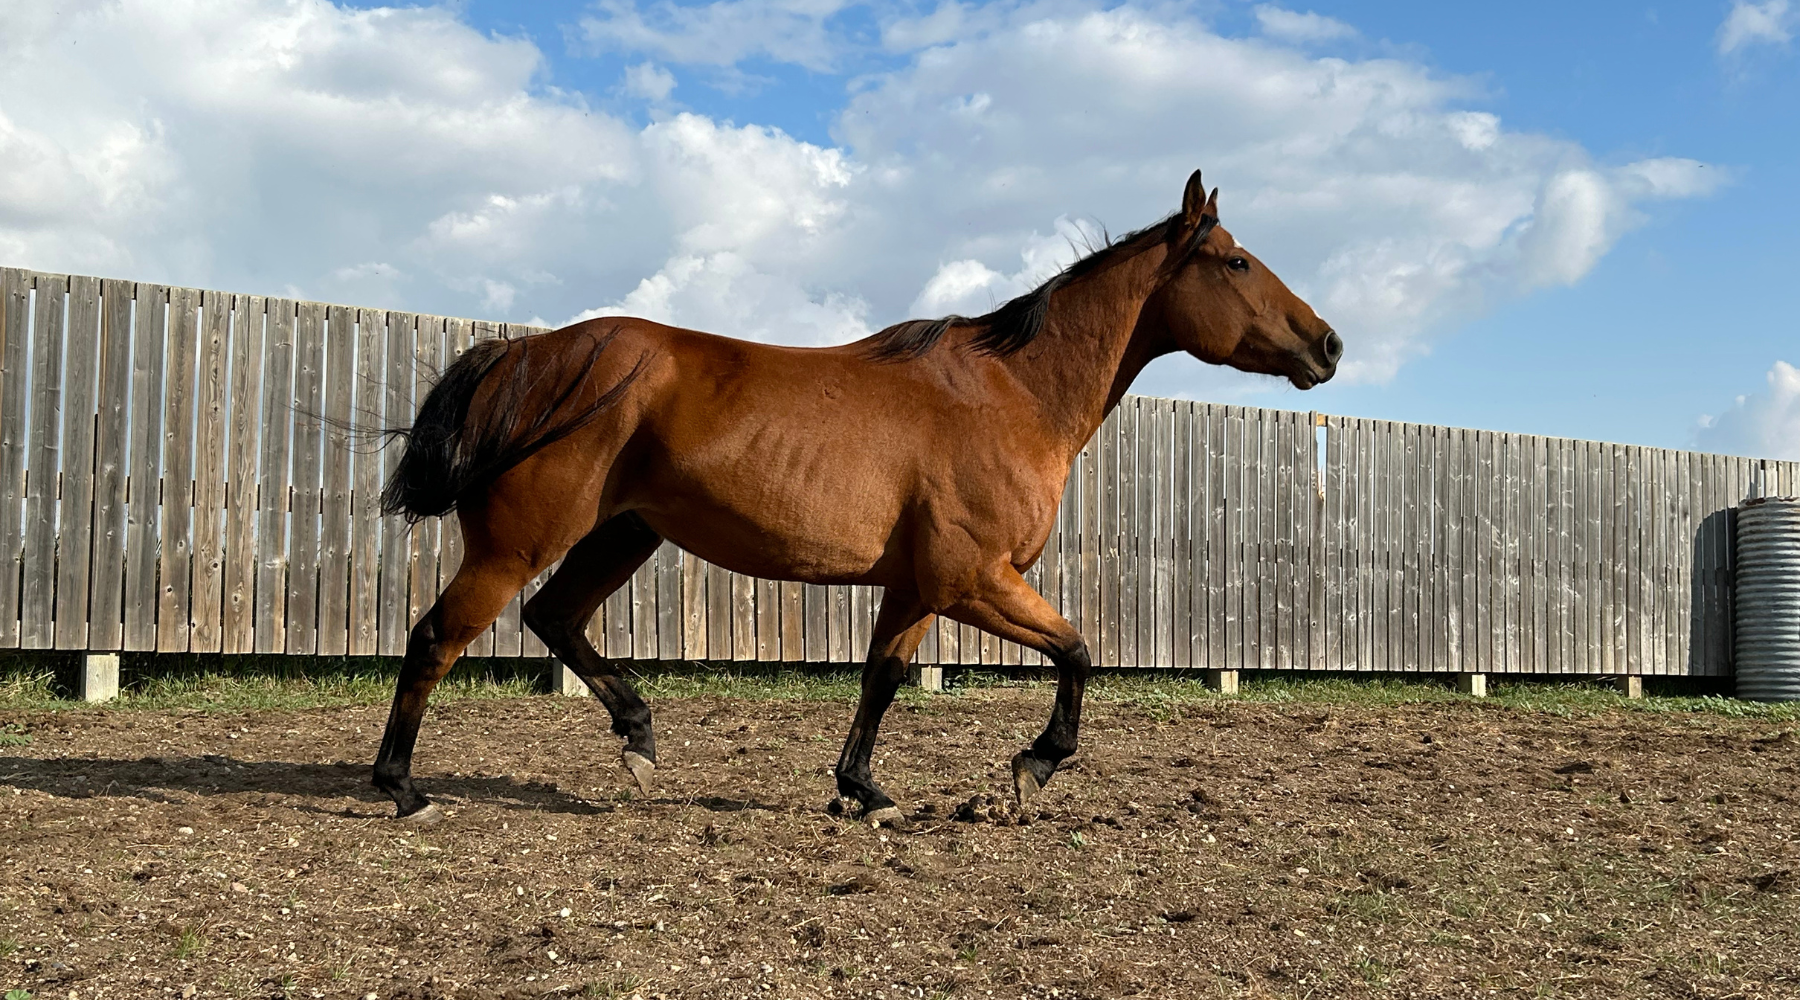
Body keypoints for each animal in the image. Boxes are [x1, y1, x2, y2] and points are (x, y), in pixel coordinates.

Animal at [373, 170, 1341, 826]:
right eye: (1236, 261)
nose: (1328, 345)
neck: (1013, 393)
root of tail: (523, 354)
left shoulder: (915, 587)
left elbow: (883, 678)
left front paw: (863, 788)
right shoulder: (971, 579)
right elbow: (1077, 651)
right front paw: (1034, 763)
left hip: (624, 535)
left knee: (554, 618)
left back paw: (640, 741)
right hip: (517, 545)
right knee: (435, 639)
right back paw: (402, 788)